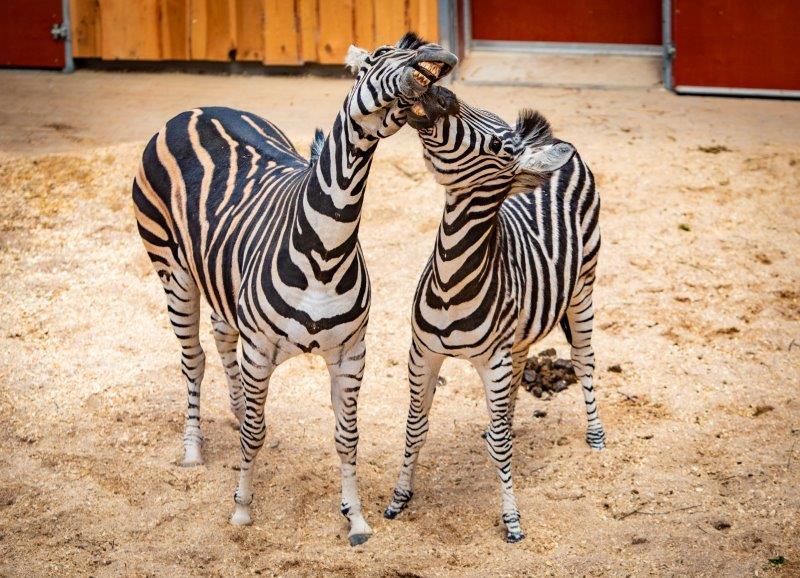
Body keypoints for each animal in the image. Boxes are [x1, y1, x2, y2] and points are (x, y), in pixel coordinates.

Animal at [131, 33, 457, 545]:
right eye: (378, 58)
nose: (438, 57)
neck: (325, 249)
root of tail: (197, 109)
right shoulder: (260, 348)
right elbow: (253, 434)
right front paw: (242, 509)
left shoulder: (350, 352)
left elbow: (346, 436)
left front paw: (355, 518)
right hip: (172, 270)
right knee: (194, 358)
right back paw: (193, 449)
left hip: (220, 282)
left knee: (221, 339)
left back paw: (233, 408)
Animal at [383, 86, 606, 543]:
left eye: (499, 147)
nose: (442, 93)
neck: (451, 281)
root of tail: (564, 147)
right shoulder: (422, 352)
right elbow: (416, 426)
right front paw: (400, 496)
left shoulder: (494, 361)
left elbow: (501, 446)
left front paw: (512, 518)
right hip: (521, 330)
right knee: (521, 374)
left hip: (584, 289)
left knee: (584, 361)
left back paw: (594, 435)